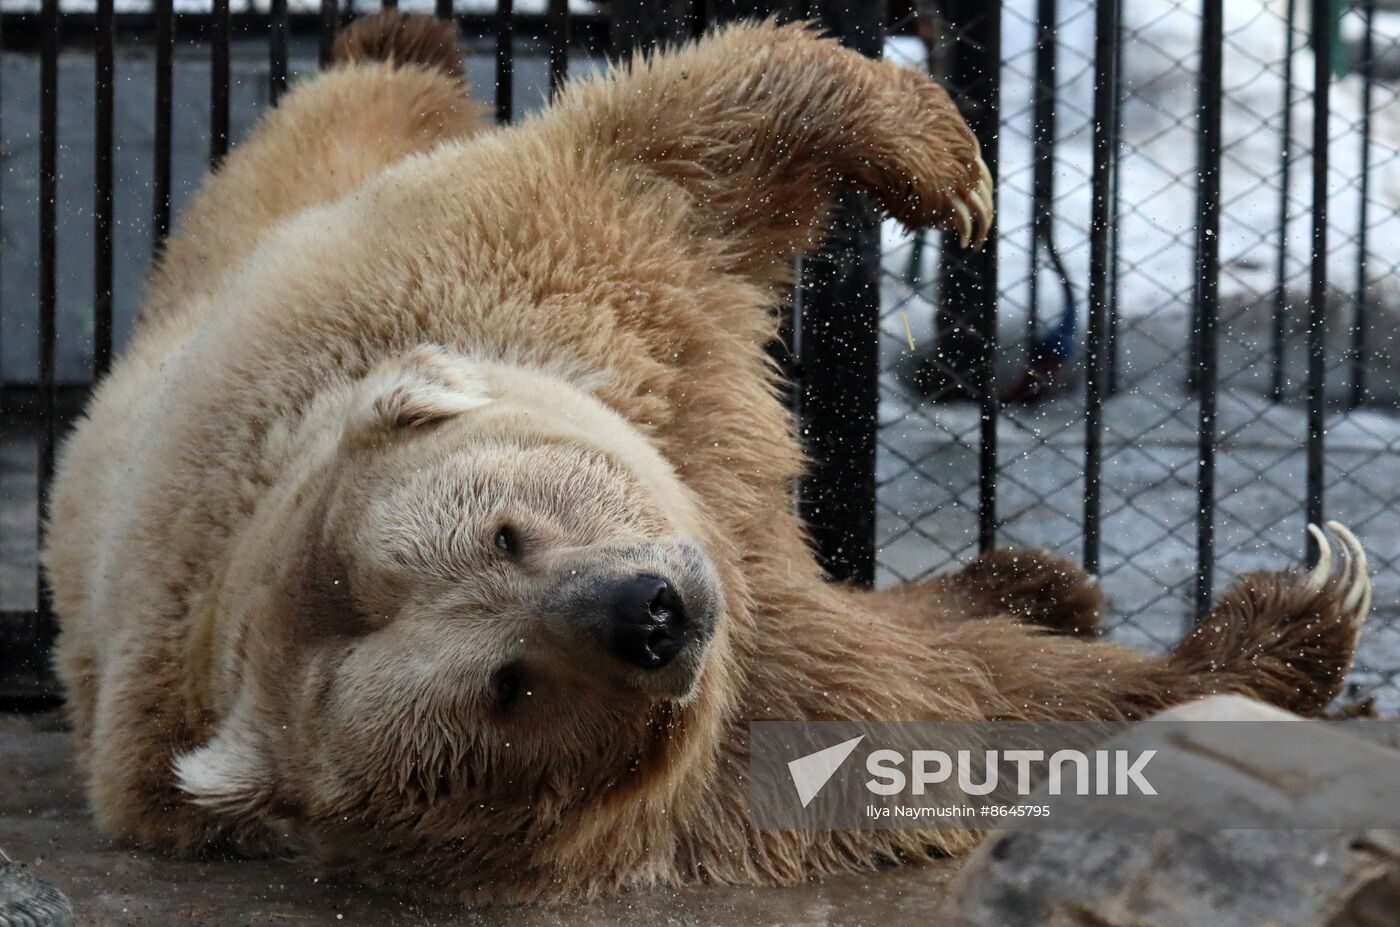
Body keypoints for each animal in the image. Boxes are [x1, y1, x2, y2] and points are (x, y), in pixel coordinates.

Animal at [43, 9, 1366, 907]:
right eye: (506, 687)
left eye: (508, 530)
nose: (648, 612)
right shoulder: (735, 736)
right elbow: (956, 712)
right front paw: (1283, 622)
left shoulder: (566, 286)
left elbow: (683, 145)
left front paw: (944, 166)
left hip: (253, 238)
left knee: (330, 129)